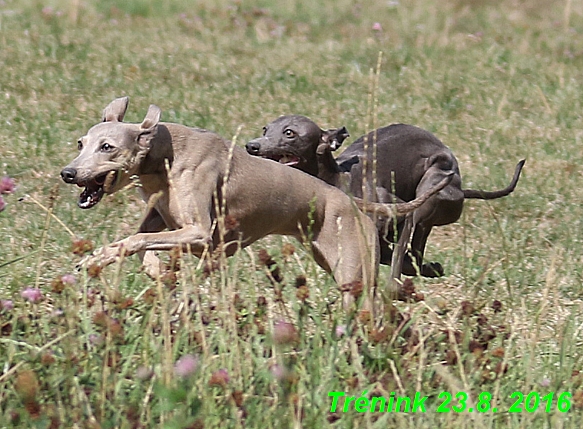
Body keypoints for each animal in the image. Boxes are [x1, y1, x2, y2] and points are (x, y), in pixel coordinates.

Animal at [246, 114, 524, 274]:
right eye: (265, 129)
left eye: (289, 133)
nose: (251, 146)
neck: (338, 180)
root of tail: (461, 189)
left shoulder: (396, 209)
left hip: (433, 187)